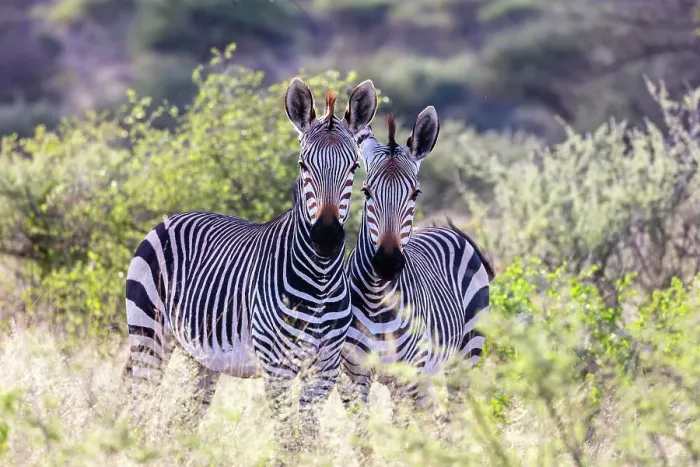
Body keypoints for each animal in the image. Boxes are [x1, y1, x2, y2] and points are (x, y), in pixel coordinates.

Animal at [123, 77, 378, 446]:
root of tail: (170, 218)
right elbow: (287, 440)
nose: (327, 238)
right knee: (140, 405)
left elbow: (309, 437)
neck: (319, 278)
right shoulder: (278, 367)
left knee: (182, 419)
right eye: (303, 165)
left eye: (354, 168)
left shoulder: (325, 368)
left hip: (201, 357)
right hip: (149, 333)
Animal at [339, 108, 495, 438]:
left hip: (466, 353)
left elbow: (402, 435)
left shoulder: (406, 375)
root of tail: (445, 229)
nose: (387, 263)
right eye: (366, 191)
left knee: (456, 412)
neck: (377, 301)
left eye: (415, 193)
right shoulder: (354, 373)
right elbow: (362, 436)